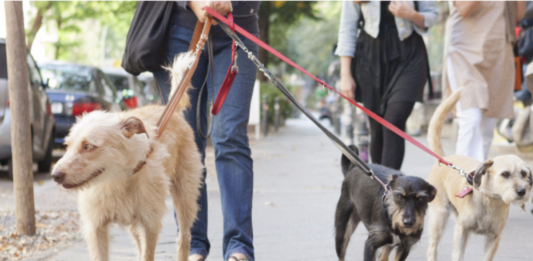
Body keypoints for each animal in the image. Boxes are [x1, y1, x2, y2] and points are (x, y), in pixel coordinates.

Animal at [51, 52, 204, 260]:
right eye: (67, 146)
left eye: (88, 146)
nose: (55, 175)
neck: (116, 180)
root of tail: (172, 113)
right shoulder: (96, 228)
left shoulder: (150, 224)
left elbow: (148, 254)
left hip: (184, 198)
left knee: (184, 237)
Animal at [424, 89, 532, 260]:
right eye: (505, 174)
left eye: (523, 173)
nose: (522, 191)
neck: (489, 200)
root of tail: (446, 159)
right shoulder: (461, 231)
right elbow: (457, 255)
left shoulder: (494, 237)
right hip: (439, 217)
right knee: (432, 248)